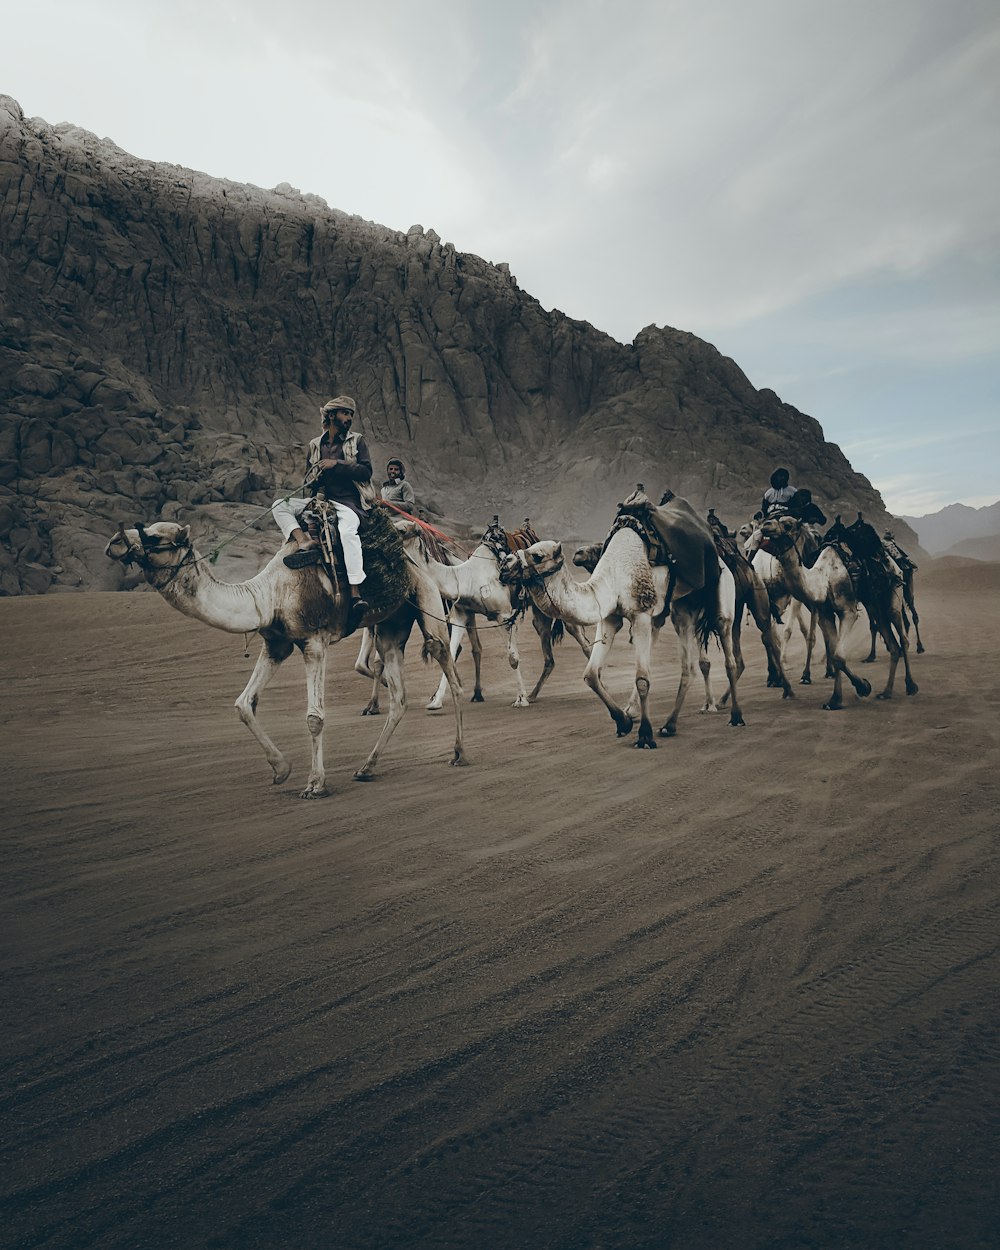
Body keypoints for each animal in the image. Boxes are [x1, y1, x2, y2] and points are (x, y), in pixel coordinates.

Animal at [107, 520, 467, 795]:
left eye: (155, 537)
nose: (114, 542)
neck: (268, 596)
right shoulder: (276, 644)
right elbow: (243, 703)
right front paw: (281, 769)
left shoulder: (314, 642)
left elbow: (314, 717)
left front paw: (315, 784)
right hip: (391, 625)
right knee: (399, 697)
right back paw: (367, 767)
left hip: (429, 601)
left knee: (448, 667)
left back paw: (459, 753)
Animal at [755, 512, 920, 710]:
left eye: (788, 524)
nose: (766, 524)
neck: (823, 579)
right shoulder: (826, 614)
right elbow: (834, 654)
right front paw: (836, 699)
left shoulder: (848, 612)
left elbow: (839, 656)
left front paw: (862, 687)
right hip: (874, 605)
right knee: (893, 644)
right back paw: (886, 692)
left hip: (894, 596)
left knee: (903, 639)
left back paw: (911, 686)